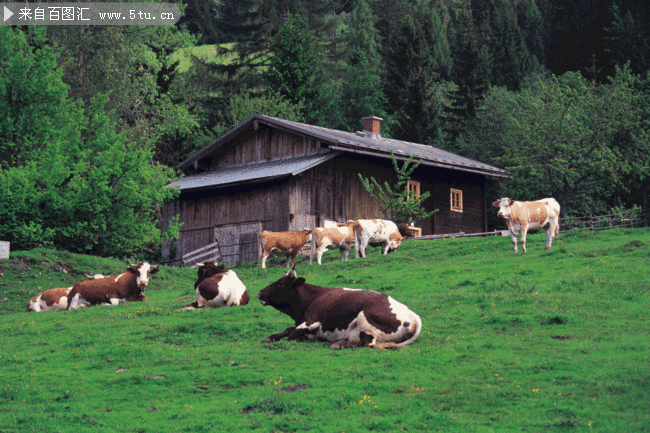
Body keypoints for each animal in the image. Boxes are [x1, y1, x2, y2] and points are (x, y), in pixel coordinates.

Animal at [253, 266, 420, 348]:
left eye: (281, 283)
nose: (259, 292)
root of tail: (413, 316)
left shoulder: (311, 320)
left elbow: (292, 334)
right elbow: (288, 330)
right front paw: (270, 337)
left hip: (363, 316)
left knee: (368, 344)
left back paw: (338, 344)